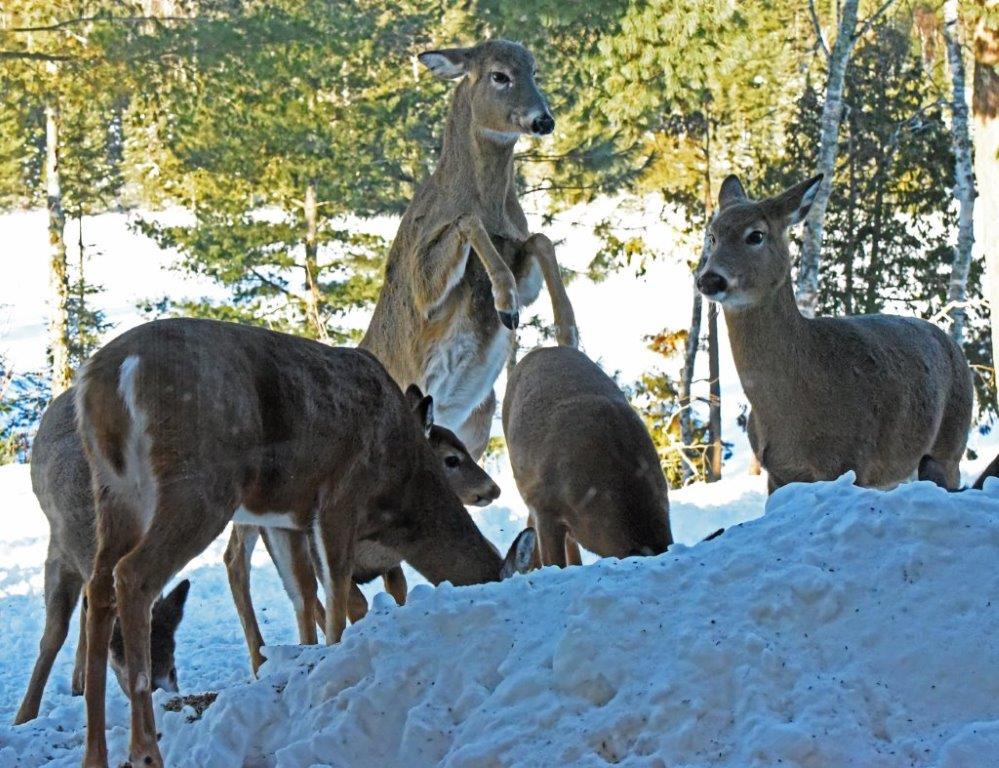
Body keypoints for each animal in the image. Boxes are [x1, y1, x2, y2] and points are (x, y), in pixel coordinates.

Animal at [14, 389, 189, 726]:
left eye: (173, 666)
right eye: (135, 671)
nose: (168, 696)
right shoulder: (58, 552)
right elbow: (54, 633)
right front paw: (24, 716)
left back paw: (80, 679)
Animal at [223, 384, 502, 675]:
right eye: (451, 459)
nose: (494, 488)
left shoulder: (390, 562)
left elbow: (398, 589)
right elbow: (355, 603)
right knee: (240, 561)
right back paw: (262, 660)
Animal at [361, 39, 578, 463]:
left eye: (534, 71)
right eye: (499, 75)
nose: (544, 120)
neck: (489, 205)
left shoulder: (519, 251)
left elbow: (540, 239)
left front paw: (568, 330)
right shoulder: (421, 284)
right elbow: (466, 222)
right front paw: (505, 301)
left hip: (478, 420)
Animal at [697, 174, 974, 493]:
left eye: (756, 235)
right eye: (712, 236)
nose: (709, 279)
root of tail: (954, 346)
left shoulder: (850, 462)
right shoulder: (777, 473)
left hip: (949, 447)